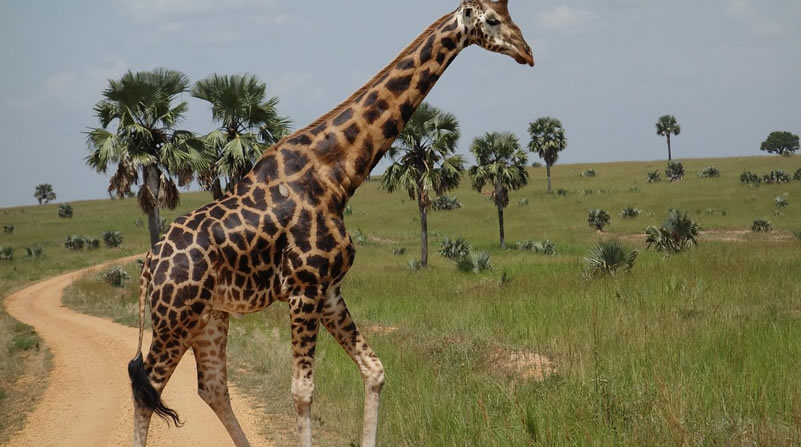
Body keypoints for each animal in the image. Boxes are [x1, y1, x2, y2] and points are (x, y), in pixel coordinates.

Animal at [130, 1, 532, 446]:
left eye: (509, 13)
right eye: (491, 19)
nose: (527, 53)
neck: (336, 175)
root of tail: (149, 266)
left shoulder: (329, 290)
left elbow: (374, 370)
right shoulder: (303, 288)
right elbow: (302, 391)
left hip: (208, 316)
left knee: (212, 388)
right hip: (174, 317)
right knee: (146, 392)